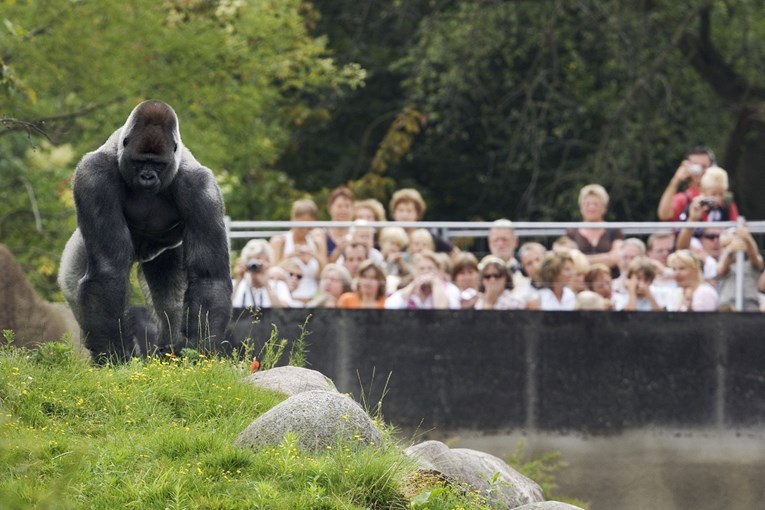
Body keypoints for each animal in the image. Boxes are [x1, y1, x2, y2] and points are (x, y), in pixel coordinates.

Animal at [58, 99, 231, 362]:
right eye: (140, 162)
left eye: (158, 165)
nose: (147, 177)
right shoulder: (94, 177)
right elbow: (108, 269)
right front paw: (116, 356)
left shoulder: (202, 190)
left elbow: (208, 277)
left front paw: (202, 353)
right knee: (73, 282)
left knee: (170, 298)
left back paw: (171, 348)